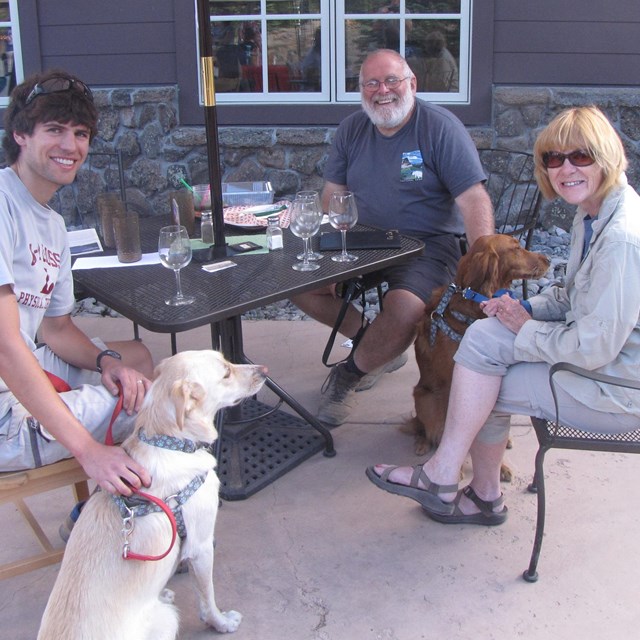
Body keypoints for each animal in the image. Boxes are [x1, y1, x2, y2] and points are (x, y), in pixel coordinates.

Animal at [38, 350, 268, 640]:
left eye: (227, 360)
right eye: (226, 372)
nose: (265, 370)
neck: (171, 441)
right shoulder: (201, 546)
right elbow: (207, 597)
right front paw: (221, 623)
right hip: (168, 619)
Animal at [404, 232, 552, 478]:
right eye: (516, 248)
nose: (548, 259)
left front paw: (500, 466)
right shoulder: (454, 385)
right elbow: (459, 429)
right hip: (425, 397)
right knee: (424, 426)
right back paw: (423, 442)